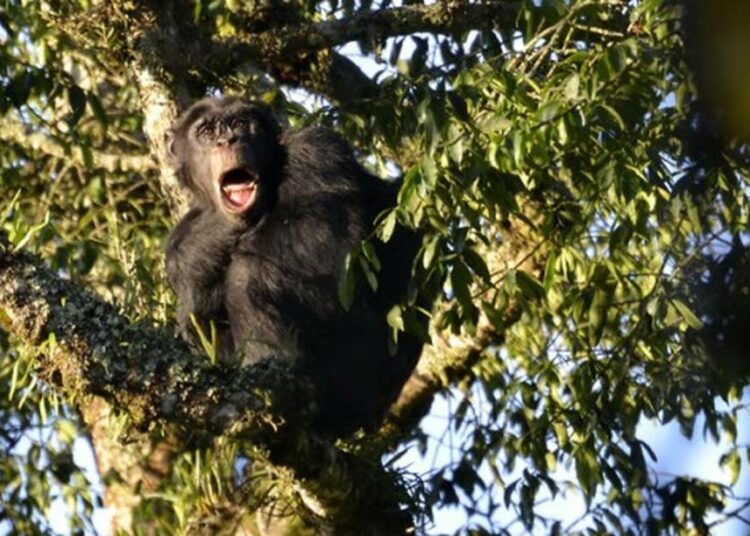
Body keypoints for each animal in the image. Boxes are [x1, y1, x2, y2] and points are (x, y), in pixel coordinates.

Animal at [164, 95, 424, 432]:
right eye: (206, 132)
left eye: (239, 123)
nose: (227, 140)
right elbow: (194, 315)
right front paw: (201, 243)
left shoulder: (317, 149)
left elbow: (322, 234)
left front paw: (212, 231)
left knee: (248, 277)